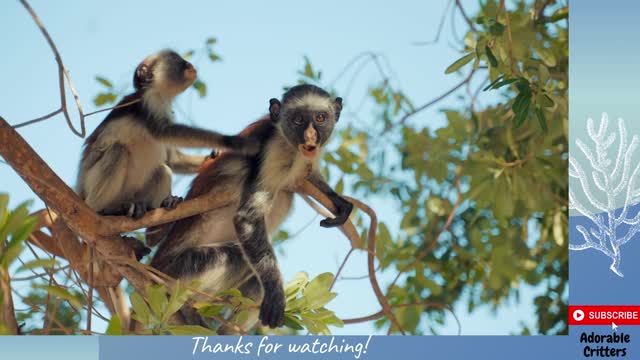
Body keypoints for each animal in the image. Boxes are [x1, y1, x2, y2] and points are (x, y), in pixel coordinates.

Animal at [76, 48, 254, 221]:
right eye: (175, 58)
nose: (188, 63)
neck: (159, 93)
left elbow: (172, 159)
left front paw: (215, 154)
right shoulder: (150, 102)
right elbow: (164, 132)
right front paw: (233, 141)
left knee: (162, 170)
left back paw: (158, 205)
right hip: (89, 187)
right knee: (117, 150)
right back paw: (104, 210)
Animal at [150, 84, 352, 332]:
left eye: (321, 118)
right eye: (298, 119)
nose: (311, 136)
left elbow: (309, 176)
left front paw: (339, 202)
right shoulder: (273, 150)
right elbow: (247, 218)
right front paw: (275, 294)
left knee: (256, 279)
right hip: (175, 273)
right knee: (238, 255)